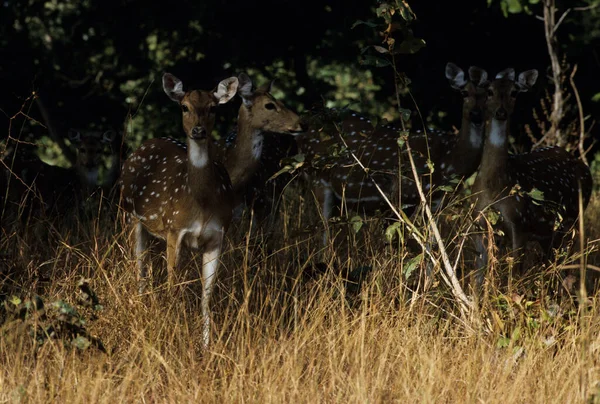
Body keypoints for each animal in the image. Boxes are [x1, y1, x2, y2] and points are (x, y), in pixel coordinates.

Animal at [119, 72, 302, 348]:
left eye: (213, 107)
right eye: (184, 107)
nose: (299, 123)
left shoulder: (221, 233)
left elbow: (207, 296)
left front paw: (206, 347)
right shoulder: (175, 231)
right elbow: (174, 288)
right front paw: (172, 337)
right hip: (130, 216)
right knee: (138, 271)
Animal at [468, 66, 592, 280]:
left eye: (514, 92)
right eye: (489, 91)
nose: (501, 112)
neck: (494, 187)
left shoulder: (519, 223)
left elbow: (513, 276)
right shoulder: (479, 224)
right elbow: (477, 278)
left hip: (574, 218)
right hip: (549, 232)